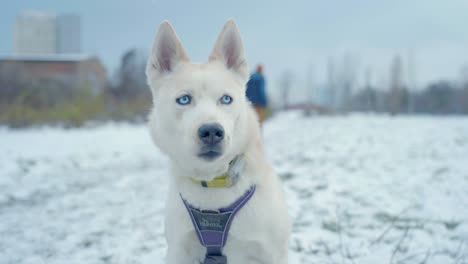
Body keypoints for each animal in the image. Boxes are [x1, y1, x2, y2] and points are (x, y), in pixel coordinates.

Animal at [146, 19, 290, 262]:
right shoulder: (178, 250)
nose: (212, 131)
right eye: (184, 100)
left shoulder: (270, 253)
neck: (213, 184)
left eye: (226, 99)